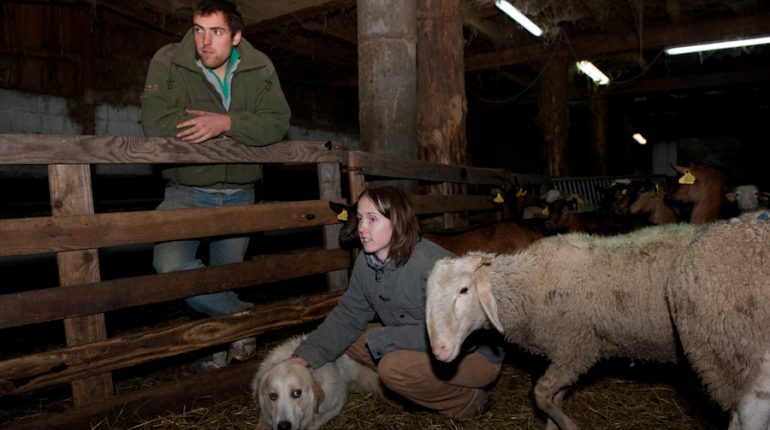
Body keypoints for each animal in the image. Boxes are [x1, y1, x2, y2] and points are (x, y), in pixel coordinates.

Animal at [426, 223, 708, 430]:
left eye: (464, 290)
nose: (440, 351)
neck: (531, 283)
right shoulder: (566, 352)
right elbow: (554, 397)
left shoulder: (576, 350)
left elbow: (542, 395)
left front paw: (569, 426)